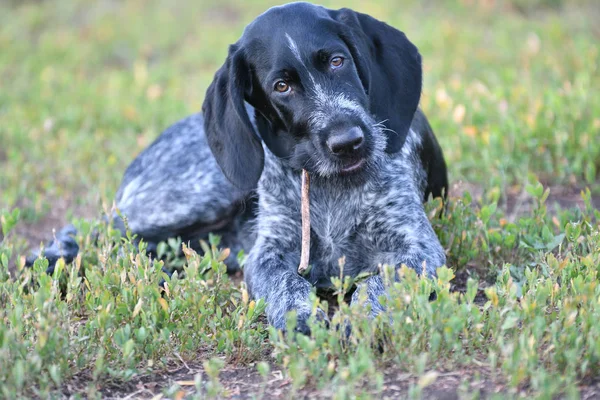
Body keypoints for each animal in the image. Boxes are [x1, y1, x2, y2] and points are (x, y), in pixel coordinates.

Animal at [25, 2, 448, 334]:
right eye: (281, 86)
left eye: (337, 61)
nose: (348, 141)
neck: (329, 184)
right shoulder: (268, 254)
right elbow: (287, 285)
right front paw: (300, 319)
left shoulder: (418, 249)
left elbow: (380, 282)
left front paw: (361, 319)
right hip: (198, 194)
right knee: (98, 228)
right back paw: (47, 260)